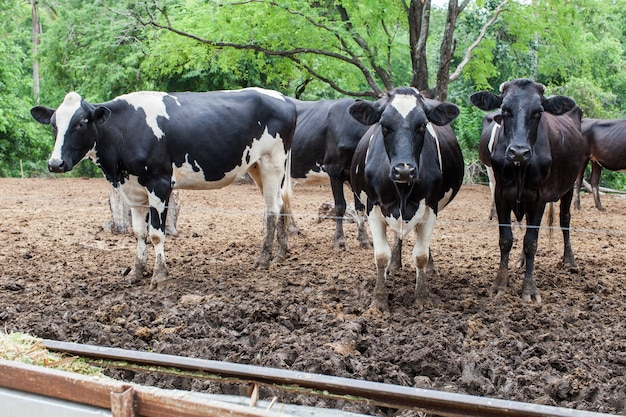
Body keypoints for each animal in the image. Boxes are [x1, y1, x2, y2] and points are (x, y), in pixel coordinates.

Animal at [32, 88, 298, 290]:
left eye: (80, 123)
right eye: (54, 125)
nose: (55, 163)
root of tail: (284, 99)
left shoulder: (159, 183)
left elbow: (156, 233)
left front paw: (159, 276)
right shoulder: (132, 189)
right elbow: (139, 232)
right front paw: (136, 272)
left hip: (272, 162)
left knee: (272, 208)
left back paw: (264, 259)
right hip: (256, 166)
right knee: (281, 203)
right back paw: (280, 254)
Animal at [288, 96, 370, 249]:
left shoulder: (354, 177)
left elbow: (360, 207)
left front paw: (364, 239)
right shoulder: (334, 170)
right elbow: (340, 206)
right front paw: (340, 241)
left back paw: (292, 229)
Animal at [346, 87, 464, 308]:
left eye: (423, 125)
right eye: (384, 125)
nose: (404, 170)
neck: (402, 192)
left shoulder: (430, 207)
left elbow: (421, 255)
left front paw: (422, 296)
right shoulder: (373, 206)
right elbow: (381, 255)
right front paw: (379, 299)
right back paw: (394, 265)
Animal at [468, 78, 584, 302]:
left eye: (539, 112)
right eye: (505, 110)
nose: (519, 152)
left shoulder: (540, 197)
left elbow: (531, 242)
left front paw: (529, 289)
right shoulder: (501, 195)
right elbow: (506, 239)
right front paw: (500, 284)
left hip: (569, 186)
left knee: (565, 219)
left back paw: (569, 259)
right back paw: (521, 261)